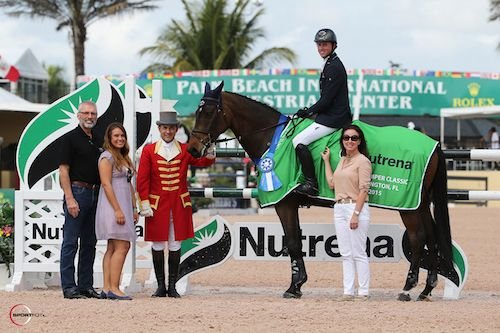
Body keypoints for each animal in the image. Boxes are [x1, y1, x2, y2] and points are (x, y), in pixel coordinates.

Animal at [188, 81, 460, 300]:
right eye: (197, 111)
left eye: (209, 112)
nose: (192, 149)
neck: (272, 138)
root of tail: (434, 144)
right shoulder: (291, 204)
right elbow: (295, 241)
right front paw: (298, 285)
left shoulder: (284, 203)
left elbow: (293, 242)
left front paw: (294, 288)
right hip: (420, 202)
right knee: (432, 236)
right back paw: (426, 289)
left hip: (408, 205)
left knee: (418, 238)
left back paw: (407, 288)